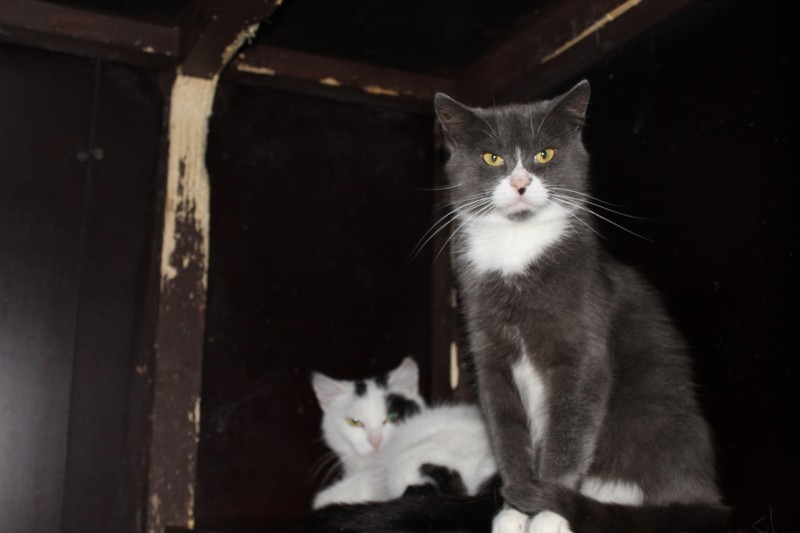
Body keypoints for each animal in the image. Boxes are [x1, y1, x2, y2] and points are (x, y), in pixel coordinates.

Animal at [429, 80, 730, 533]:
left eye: (545, 154)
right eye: (492, 157)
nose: (520, 182)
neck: (517, 250)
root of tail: (705, 496)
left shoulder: (583, 348)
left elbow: (570, 432)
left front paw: (547, 513)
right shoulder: (490, 357)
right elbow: (507, 434)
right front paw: (515, 511)